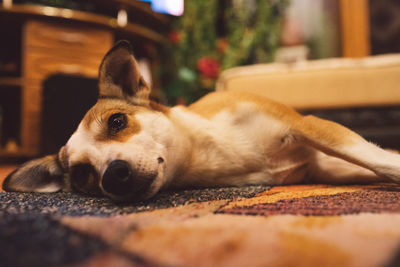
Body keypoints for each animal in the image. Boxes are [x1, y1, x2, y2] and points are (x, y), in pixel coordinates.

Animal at [3, 40, 400, 202]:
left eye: (116, 121)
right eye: (83, 174)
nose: (112, 176)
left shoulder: (308, 127)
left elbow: (382, 160)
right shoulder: (322, 166)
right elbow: (379, 163)